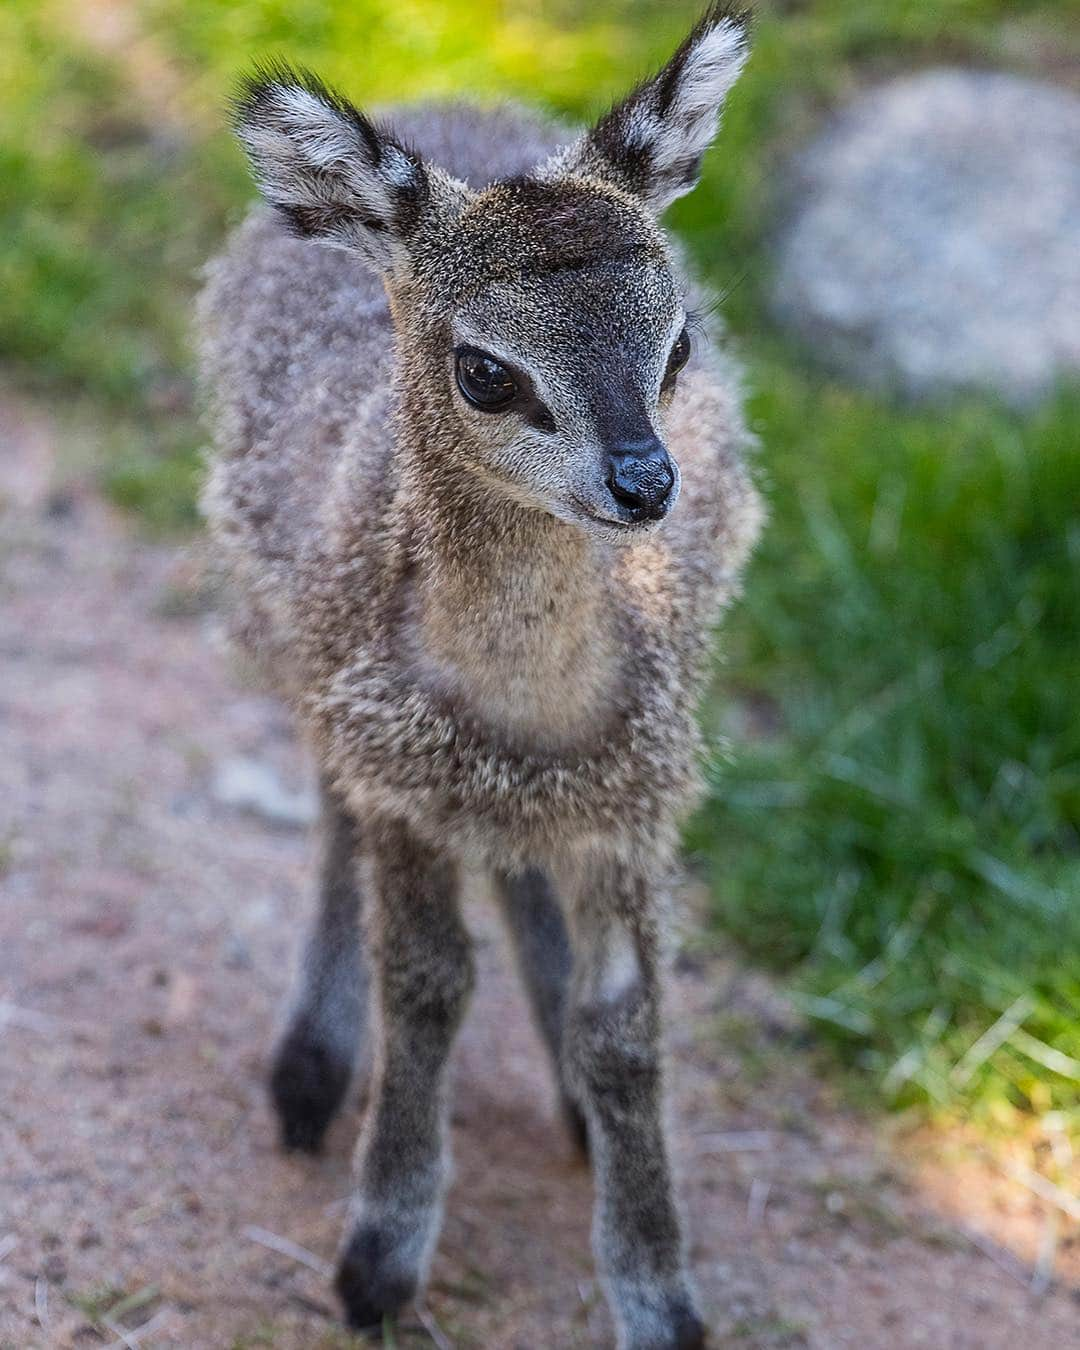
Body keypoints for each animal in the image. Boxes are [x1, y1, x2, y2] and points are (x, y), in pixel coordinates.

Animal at [199, 5, 761, 1344]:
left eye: (678, 345)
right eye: (488, 371)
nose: (644, 482)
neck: (528, 705)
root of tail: (447, 100)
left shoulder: (633, 799)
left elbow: (626, 1028)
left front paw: (659, 1293)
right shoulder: (401, 770)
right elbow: (427, 984)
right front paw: (378, 1258)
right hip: (303, 651)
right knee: (335, 814)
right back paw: (310, 1071)